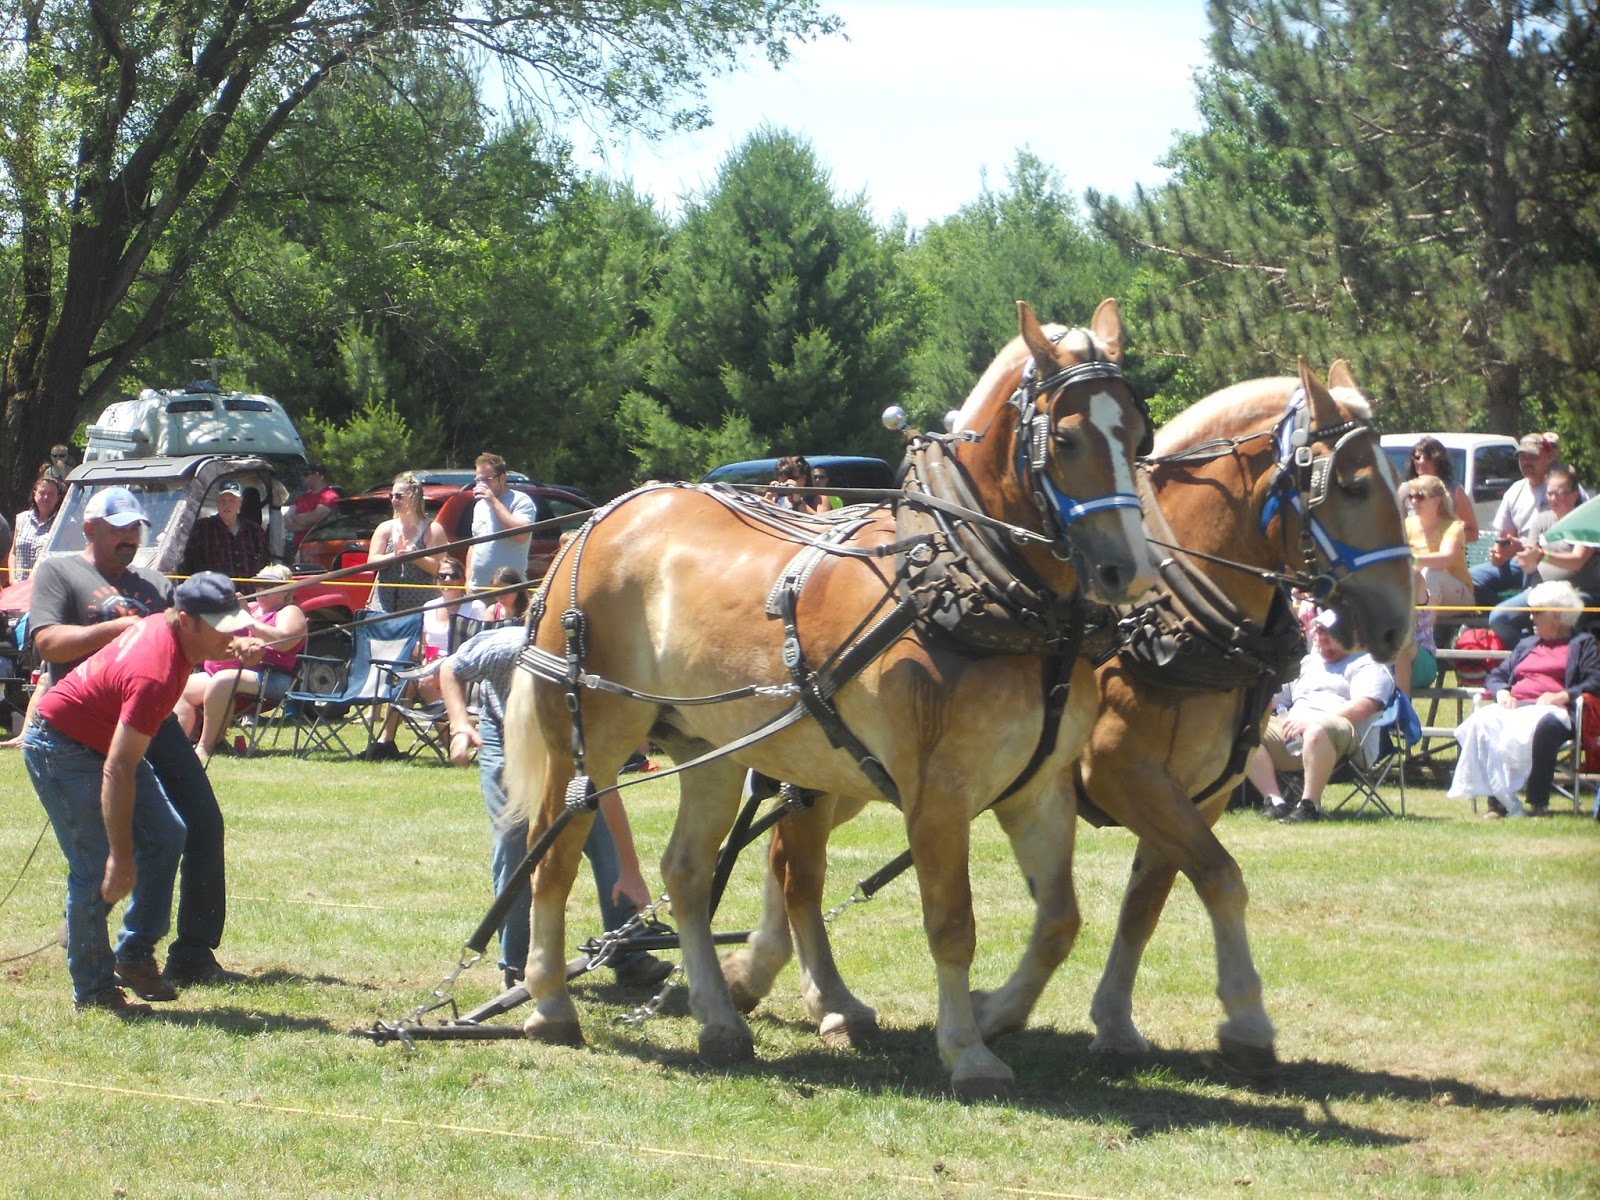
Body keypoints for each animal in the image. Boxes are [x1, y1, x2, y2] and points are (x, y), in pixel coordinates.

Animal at [503, 299, 1158, 1098]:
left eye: (1140, 437)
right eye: (1064, 439)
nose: (1129, 569)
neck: (970, 579)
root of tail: (592, 524)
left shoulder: (1039, 788)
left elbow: (1060, 921)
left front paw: (993, 1010)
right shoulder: (937, 793)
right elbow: (951, 922)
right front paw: (967, 1050)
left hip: (712, 749)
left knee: (688, 872)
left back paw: (719, 1019)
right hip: (590, 736)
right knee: (556, 852)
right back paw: (549, 1004)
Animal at [718, 358, 1414, 1073]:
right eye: (1354, 486)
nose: (1397, 626)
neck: (1172, 608)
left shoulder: (1201, 790)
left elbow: (1150, 902)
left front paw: (1117, 1021)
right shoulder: (1123, 773)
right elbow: (1218, 876)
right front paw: (1242, 1017)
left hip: (850, 771)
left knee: (781, 856)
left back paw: (756, 973)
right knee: (797, 865)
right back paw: (821, 998)